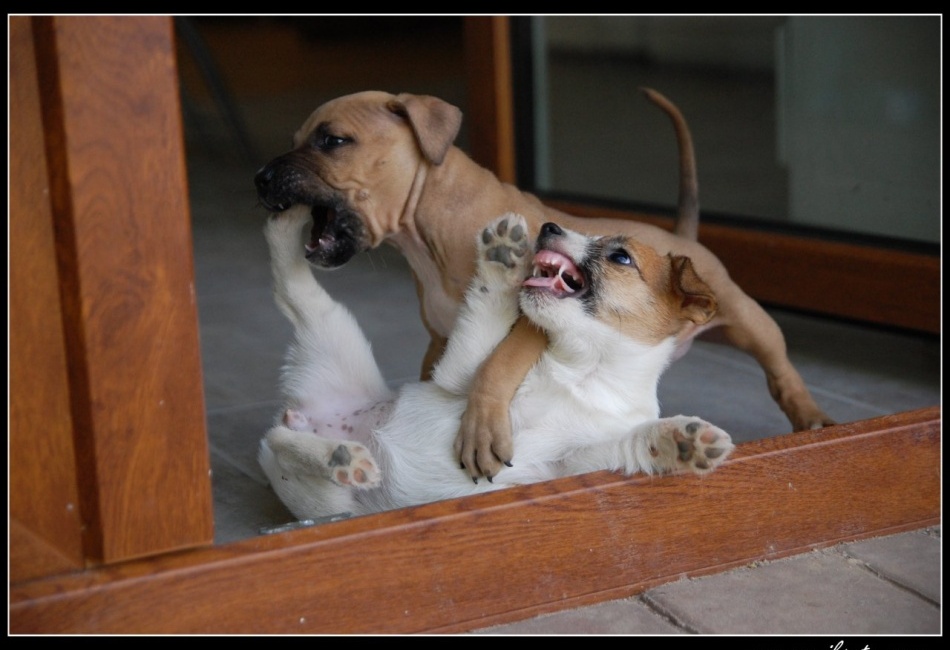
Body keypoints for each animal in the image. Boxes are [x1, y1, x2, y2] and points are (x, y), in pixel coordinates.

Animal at [255, 88, 834, 478]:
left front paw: (481, 427)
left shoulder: (533, 316)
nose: (260, 178)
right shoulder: (438, 338)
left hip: (746, 317)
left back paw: (811, 417)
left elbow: (496, 366)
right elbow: (444, 371)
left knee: (780, 368)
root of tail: (679, 242)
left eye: (333, 141)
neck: (429, 229)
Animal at [258, 209, 734, 520]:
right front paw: (501, 257)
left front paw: (682, 440)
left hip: (330, 496)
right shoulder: (457, 377)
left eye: (621, 257)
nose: (548, 227)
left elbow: (631, 442)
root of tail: (298, 415)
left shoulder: (572, 469)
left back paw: (340, 456)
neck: (584, 372)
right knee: (289, 284)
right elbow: (488, 307)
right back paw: (289, 220)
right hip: (334, 336)